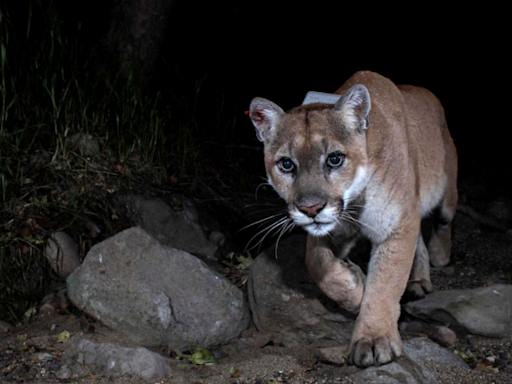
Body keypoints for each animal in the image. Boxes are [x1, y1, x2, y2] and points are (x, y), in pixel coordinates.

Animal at [248, 70, 456, 368]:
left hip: (446, 189)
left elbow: (385, 283)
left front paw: (373, 338)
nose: (311, 209)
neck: (355, 202)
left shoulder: (396, 225)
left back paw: (439, 256)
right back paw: (417, 281)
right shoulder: (335, 229)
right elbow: (316, 262)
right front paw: (355, 290)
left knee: (443, 220)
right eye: (286, 164)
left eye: (334, 159)